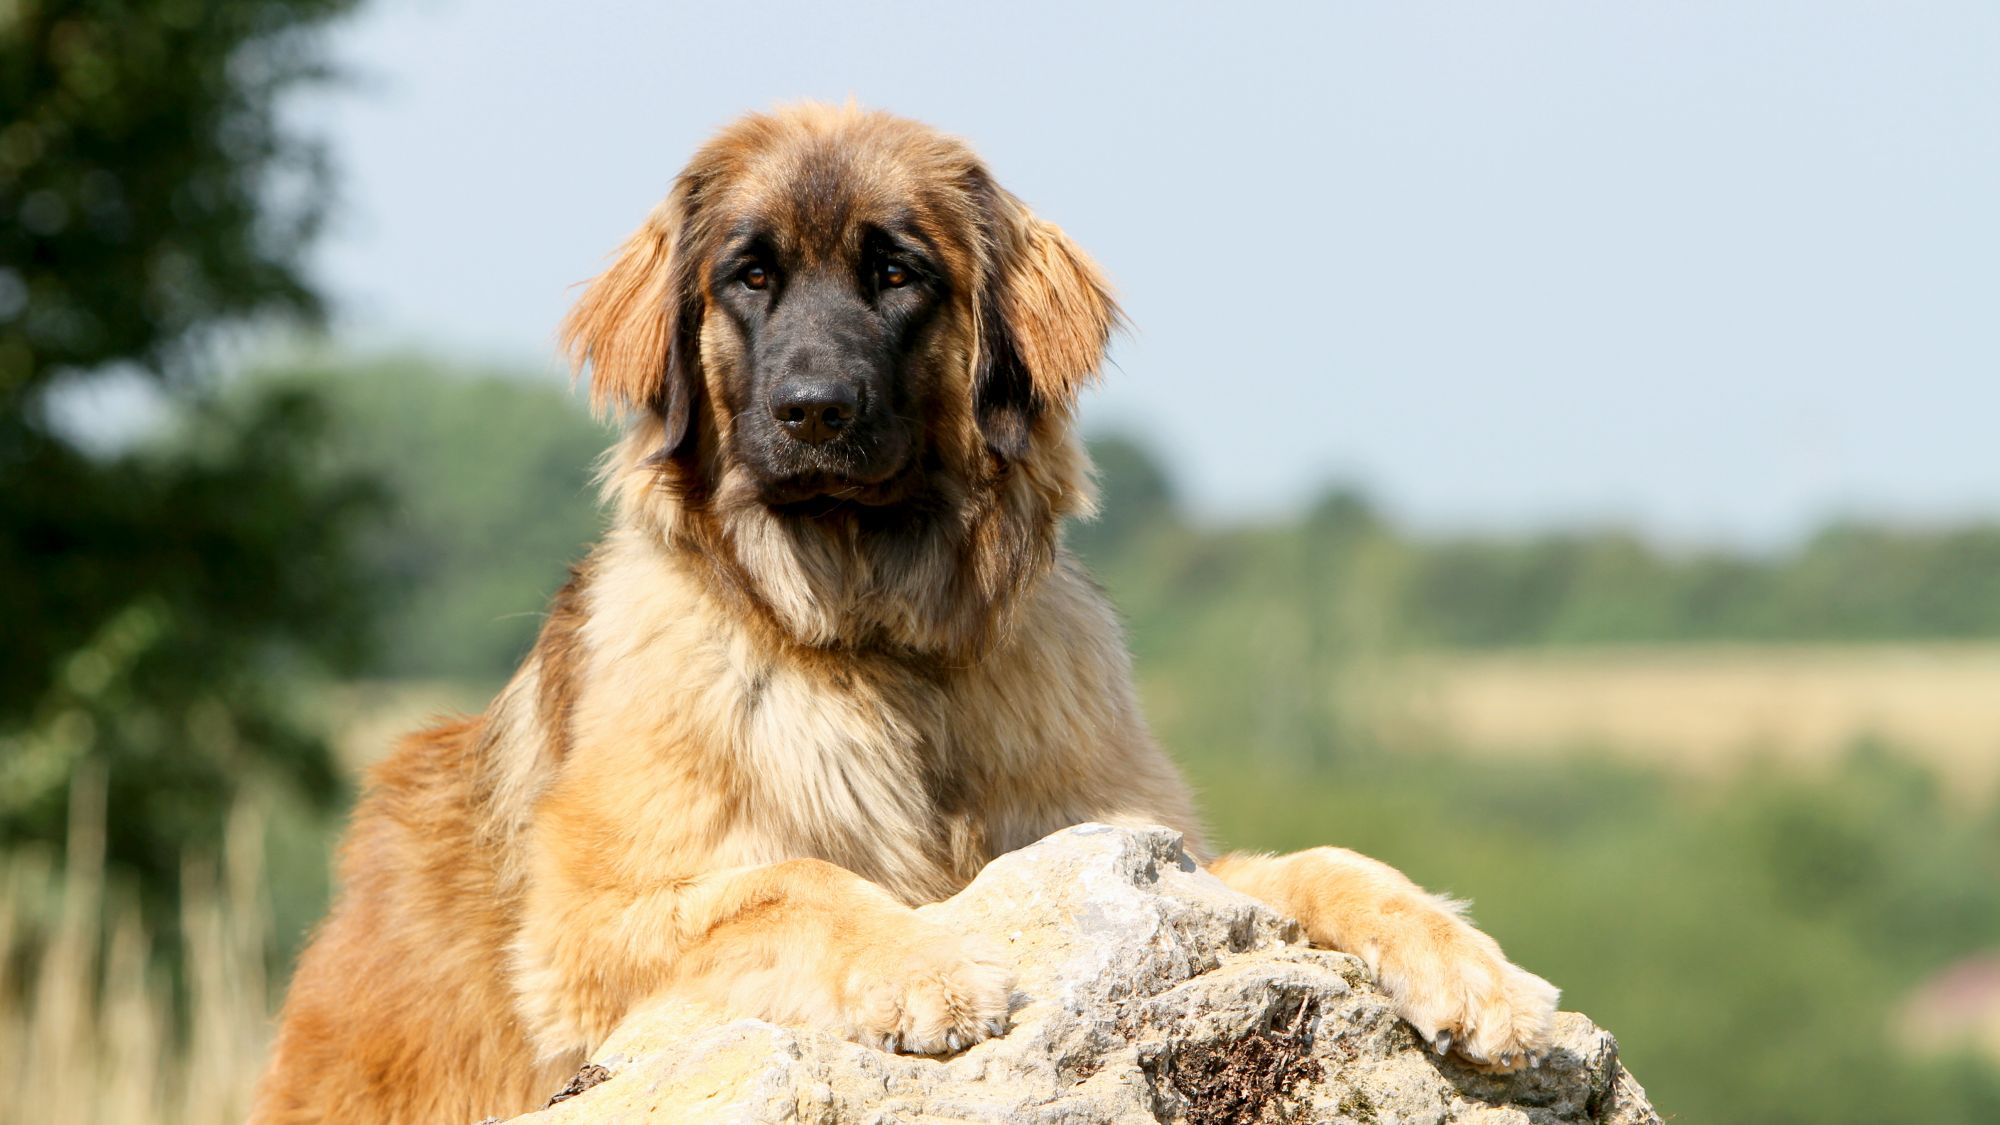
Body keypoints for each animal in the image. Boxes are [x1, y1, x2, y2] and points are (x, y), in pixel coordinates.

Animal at [250, 100, 1560, 1112]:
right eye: (750, 277)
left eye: (896, 275)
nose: (813, 411)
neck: (876, 642)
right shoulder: (586, 930)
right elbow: (795, 878)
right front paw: (929, 966)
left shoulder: (1128, 845)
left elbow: (1328, 860)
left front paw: (1478, 972)